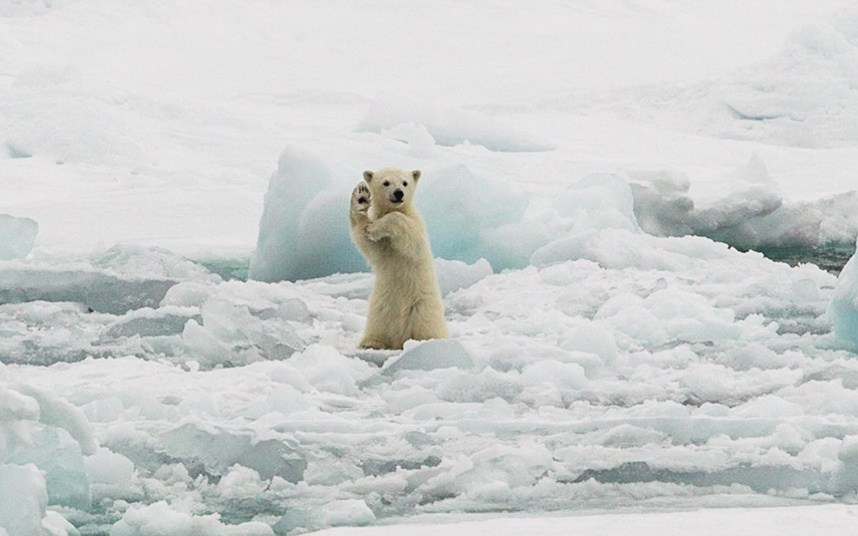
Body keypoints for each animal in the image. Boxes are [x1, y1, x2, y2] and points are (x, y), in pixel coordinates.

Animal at [348, 169, 448, 352]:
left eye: (404, 182)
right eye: (386, 182)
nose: (398, 193)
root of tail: (399, 340)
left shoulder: (416, 227)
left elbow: (406, 232)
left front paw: (374, 227)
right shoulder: (383, 247)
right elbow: (366, 241)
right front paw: (361, 196)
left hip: (422, 308)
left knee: (426, 325)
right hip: (380, 307)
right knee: (377, 325)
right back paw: (370, 342)